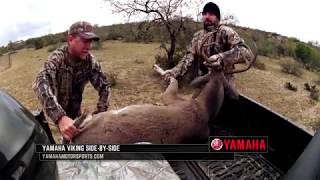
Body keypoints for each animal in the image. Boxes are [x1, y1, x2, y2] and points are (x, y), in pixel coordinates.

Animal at [72, 38, 255, 145]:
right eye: (211, 73)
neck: (204, 109)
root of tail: (76, 139)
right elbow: (172, 77)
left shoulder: (171, 98)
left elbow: (172, 78)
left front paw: (157, 67)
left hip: (99, 118)